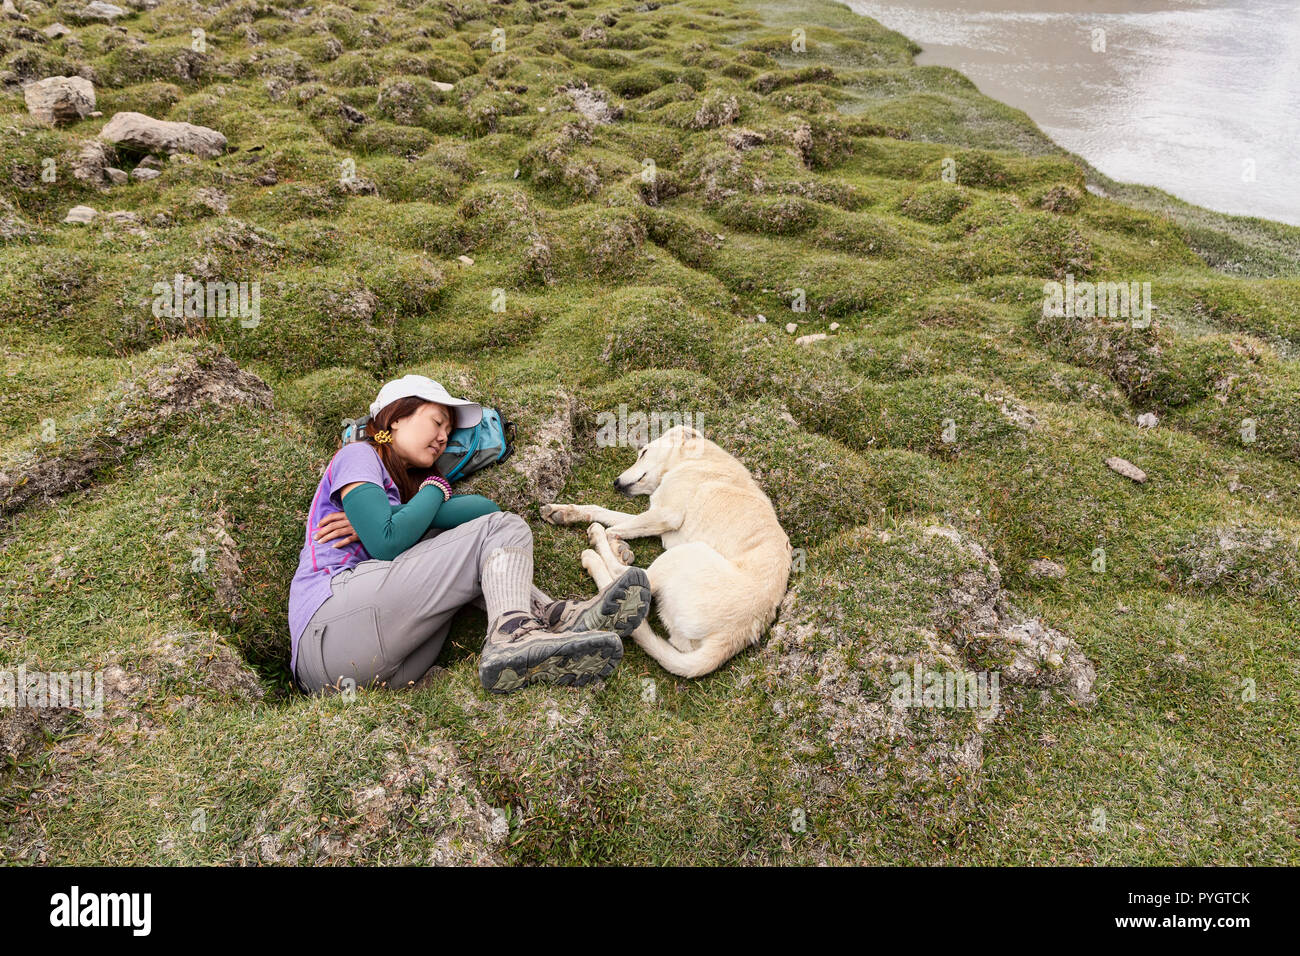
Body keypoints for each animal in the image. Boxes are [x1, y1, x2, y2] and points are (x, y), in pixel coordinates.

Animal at [538, 426, 790, 681]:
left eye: (643, 452)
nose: (616, 483)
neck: (694, 460)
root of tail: (733, 636)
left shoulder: (666, 514)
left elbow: (613, 529)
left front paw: (615, 545)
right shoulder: (655, 514)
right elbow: (603, 512)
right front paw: (565, 513)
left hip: (685, 554)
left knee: (628, 575)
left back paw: (596, 560)